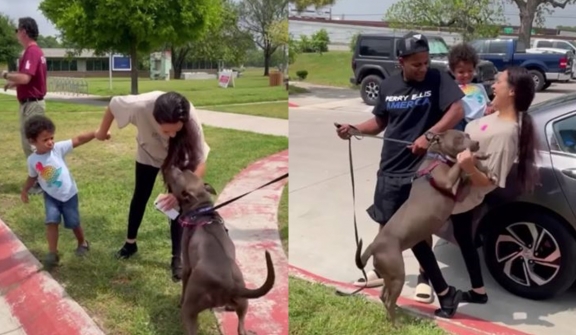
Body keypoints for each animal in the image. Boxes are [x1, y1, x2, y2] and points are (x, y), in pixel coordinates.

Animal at [165, 168, 276, 335]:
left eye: (178, 176)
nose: (171, 167)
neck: (201, 209)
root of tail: (229, 285)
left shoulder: (187, 266)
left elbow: (183, 285)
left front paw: (179, 300)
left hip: (190, 308)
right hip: (244, 304)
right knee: (241, 327)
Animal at [354, 130, 492, 326]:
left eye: (468, 135)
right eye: (459, 138)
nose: (477, 143)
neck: (438, 157)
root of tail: (374, 245)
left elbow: (466, 175)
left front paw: (481, 159)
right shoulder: (448, 182)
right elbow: (460, 163)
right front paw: (473, 157)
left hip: (389, 274)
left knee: (383, 295)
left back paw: (393, 316)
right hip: (397, 273)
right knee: (388, 299)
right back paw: (396, 325)